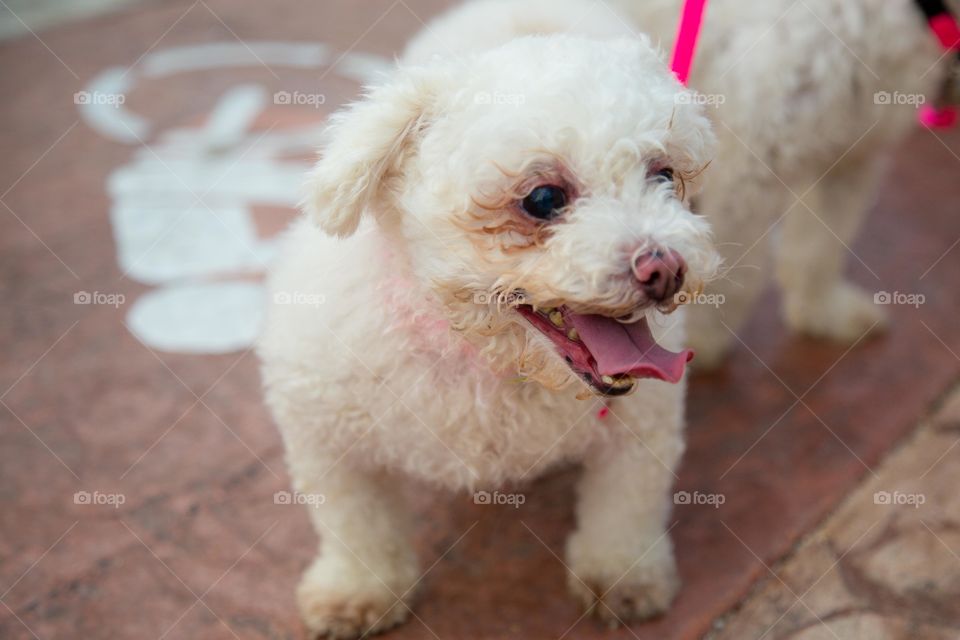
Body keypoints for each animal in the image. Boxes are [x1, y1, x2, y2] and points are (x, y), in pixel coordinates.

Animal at [258, 2, 716, 636]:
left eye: (665, 176)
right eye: (544, 199)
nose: (666, 267)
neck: (481, 359)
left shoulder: (639, 432)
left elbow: (625, 510)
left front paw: (624, 577)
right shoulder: (325, 435)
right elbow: (356, 525)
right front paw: (357, 592)